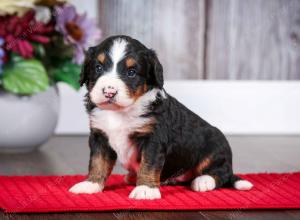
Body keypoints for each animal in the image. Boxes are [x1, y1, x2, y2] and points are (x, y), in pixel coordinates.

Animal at [68, 35, 253, 199]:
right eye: (98, 67)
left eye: (131, 72)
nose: (109, 92)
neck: (120, 112)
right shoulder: (99, 136)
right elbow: (97, 162)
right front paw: (90, 184)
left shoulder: (153, 138)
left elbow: (148, 164)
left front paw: (145, 189)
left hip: (216, 146)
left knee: (221, 173)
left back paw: (203, 181)